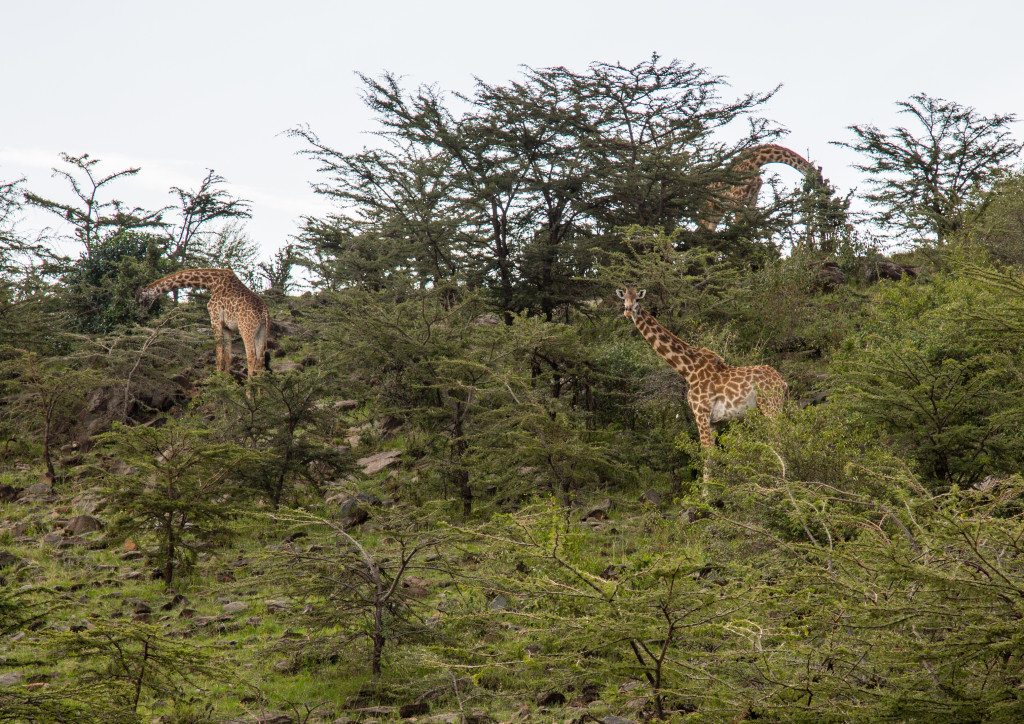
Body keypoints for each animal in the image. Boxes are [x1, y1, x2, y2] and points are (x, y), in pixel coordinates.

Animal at [138, 268, 270, 378]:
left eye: (141, 300)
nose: (142, 314)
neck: (211, 282)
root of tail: (264, 312)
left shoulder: (215, 318)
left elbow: (219, 353)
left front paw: (216, 380)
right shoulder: (227, 327)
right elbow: (228, 356)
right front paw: (226, 381)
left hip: (246, 329)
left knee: (251, 357)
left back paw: (249, 390)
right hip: (262, 331)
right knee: (261, 360)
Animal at [614, 286, 790, 475]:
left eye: (637, 300)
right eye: (623, 299)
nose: (627, 311)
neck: (688, 370)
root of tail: (782, 382)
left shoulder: (701, 413)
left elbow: (706, 457)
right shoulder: (714, 422)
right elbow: (713, 457)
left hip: (771, 406)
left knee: (780, 441)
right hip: (774, 407)